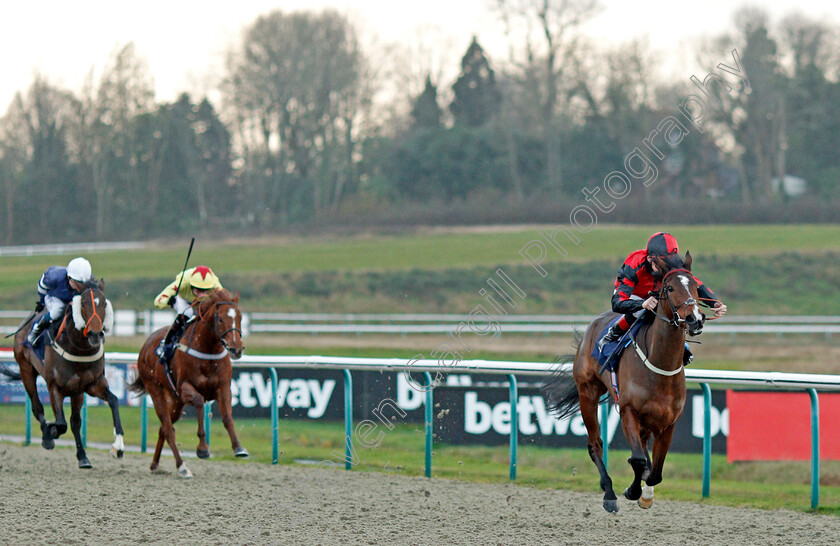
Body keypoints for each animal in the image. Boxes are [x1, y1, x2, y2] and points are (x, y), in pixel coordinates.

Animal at [9, 280, 124, 468]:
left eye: (104, 303)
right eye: (83, 303)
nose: (95, 334)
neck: (79, 349)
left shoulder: (92, 384)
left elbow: (113, 401)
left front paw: (118, 446)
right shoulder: (55, 387)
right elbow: (61, 423)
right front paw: (52, 430)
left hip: (77, 392)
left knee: (75, 422)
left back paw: (82, 456)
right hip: (26, 370)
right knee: (37, 407)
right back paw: (48, 437)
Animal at [128, 286, 246, 474]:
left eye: (240, 318)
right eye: (220, 319)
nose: (236, 349)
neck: (207, 351)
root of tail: (146, 345)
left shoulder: (223, 388)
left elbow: (227, 417)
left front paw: (238, 448)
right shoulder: (185, 388)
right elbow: (198, 401)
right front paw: (203, 449)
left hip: (176, 401)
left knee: (164, 428)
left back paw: (155, 464)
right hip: (156, 390)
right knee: (168, 428)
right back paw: (181, 466)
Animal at [540, 253, 704, 512]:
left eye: (696, 287)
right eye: (669, 287)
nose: (695, 319)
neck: (660, 366)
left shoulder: (668, 423)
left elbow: (655, 472)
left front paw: (646, 493)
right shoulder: (628, 410)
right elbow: (637, 460)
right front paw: (632, 490)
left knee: (643, 448)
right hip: (587, 392)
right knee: (595, 443)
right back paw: (609, 492)